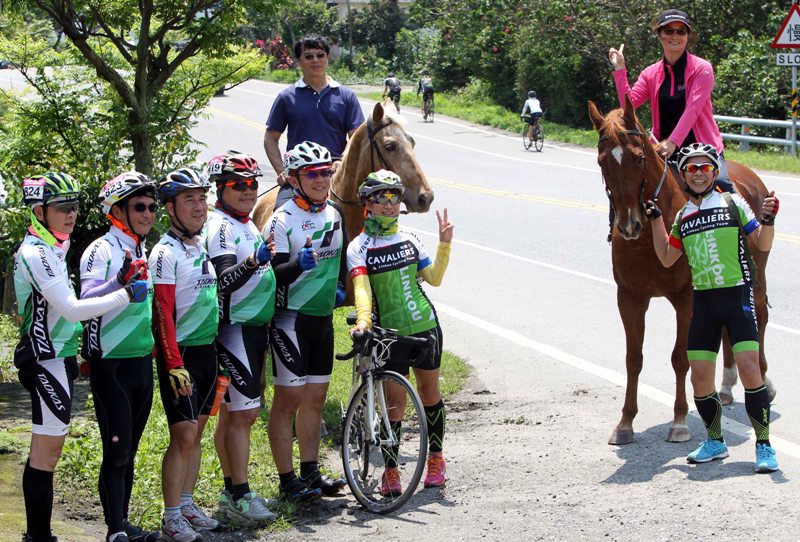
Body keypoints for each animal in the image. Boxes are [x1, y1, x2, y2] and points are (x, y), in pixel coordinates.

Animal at [588, 96, 776, 446]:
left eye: (638, 158)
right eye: (602, 162)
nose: (629, 225)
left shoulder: (685, 299)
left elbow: (680, 358)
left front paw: (678, 420)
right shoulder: (629, 298)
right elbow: (633, 358)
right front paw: (625, 422)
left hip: (755, 278)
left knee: (759, 316)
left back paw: (764, 380)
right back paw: (726, 385)